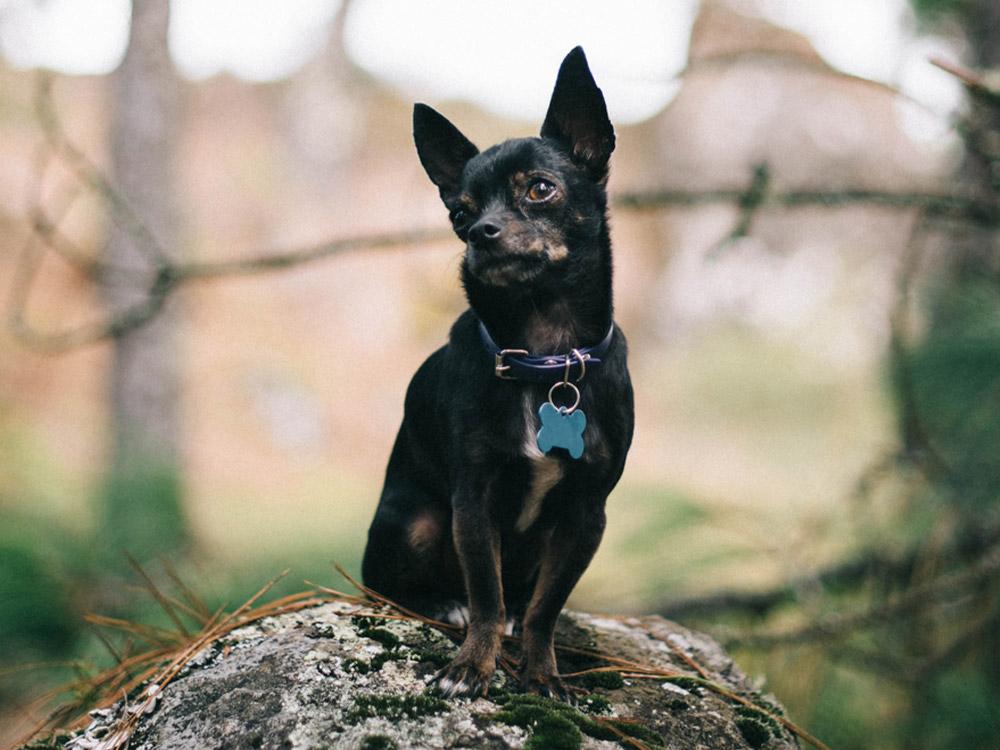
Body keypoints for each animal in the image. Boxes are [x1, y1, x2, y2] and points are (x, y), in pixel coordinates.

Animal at [364, 47, 636, 704]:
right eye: (460, 213)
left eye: (539, 190)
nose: (480, 233)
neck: (546, 356)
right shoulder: (473, 503)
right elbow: (485, 592)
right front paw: (471, 666)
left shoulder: (585, 515)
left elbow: (544, 610)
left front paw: (544, 674)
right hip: (415, 520)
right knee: (392, 587)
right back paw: (441, 603)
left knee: (523, 597)